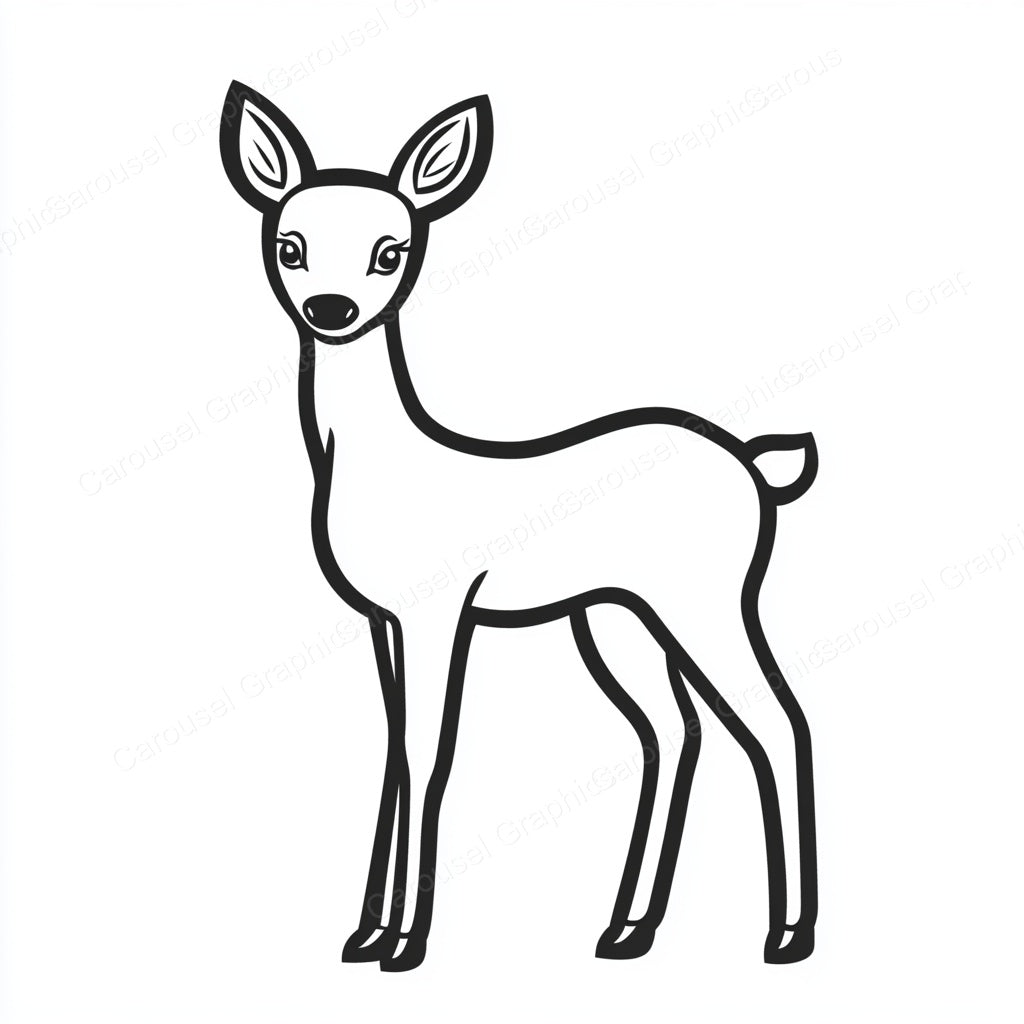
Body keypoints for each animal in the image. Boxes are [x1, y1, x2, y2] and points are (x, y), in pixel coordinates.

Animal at [219, 81, 819, 973]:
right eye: (288, 245)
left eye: (391, 252)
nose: (333, 309)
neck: (383, 462)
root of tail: (754, 466)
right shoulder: (385, 620)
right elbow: (393, 749)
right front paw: (364, 935)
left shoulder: (439, 612)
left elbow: (431, 755)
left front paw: (406, 944)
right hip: (615, 616)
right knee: (675, 730)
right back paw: (626, 930)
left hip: (705, 598)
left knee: (777, 720)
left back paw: (786, 936)